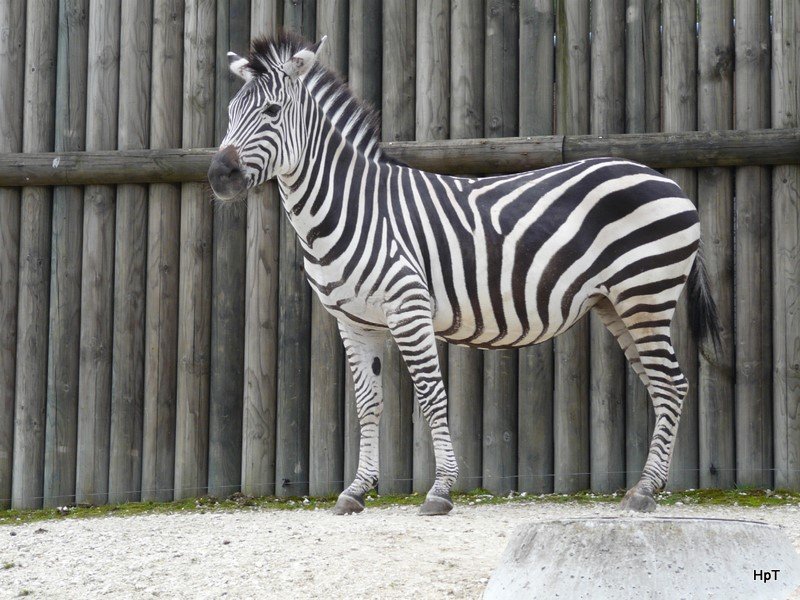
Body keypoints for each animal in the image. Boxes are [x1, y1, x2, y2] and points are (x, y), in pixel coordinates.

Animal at [209, 34, 720, 516]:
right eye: (230, 112)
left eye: (272, 111)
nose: (218, 175)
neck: (353, 207)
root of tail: (669, 182)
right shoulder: (353, 322)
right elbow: (368, 404)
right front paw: (355, 491)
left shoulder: (408, 307)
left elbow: (431, 396)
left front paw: (440, 490)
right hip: (619, 303)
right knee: (661, 385)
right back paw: (647, 486)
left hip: (645, 295)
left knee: (672, 384)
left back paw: (646, 492)